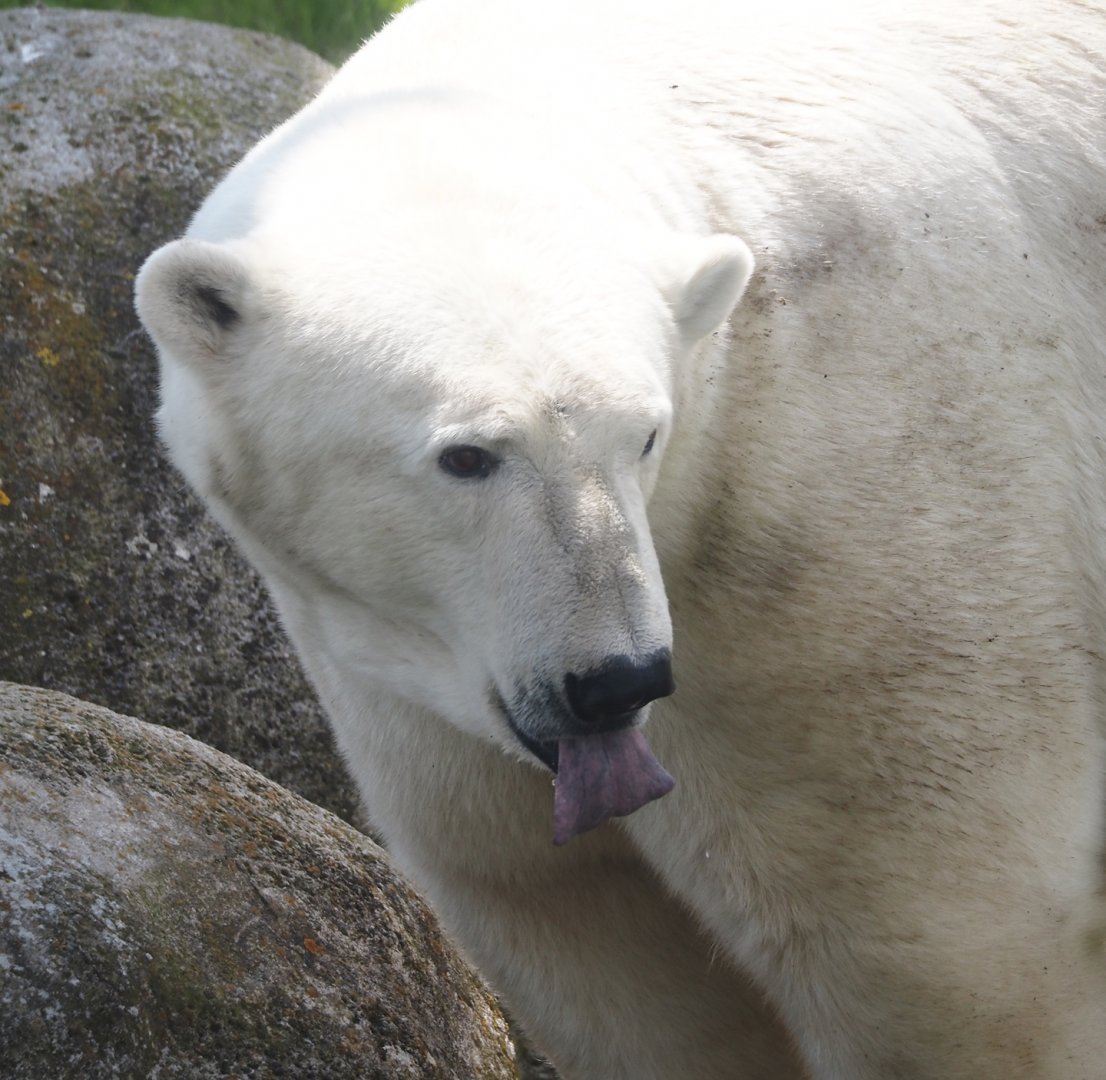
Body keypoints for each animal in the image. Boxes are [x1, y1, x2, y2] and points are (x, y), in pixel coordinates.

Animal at [135, 1, 1106, 1076]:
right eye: (467, 456)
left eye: (644, 434)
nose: (616, 680)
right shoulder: (413, 708)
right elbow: (593, 941)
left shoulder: (847, 523)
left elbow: (949, 954)